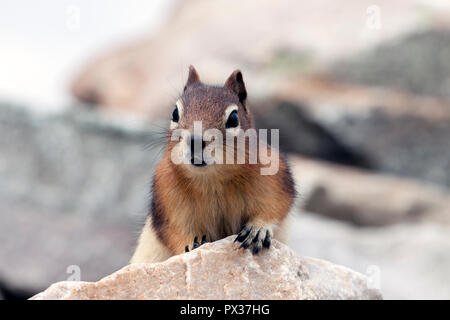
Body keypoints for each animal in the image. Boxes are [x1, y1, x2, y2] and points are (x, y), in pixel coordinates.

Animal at [130, 65, 298, 262]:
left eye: (234, 118)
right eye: (175, 113)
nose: (195, 140)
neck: (213, 179)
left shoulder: (274, 180)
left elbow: (274, 207)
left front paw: (258, 229)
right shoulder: (167, 199)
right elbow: (176, 231)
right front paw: (192, 245)